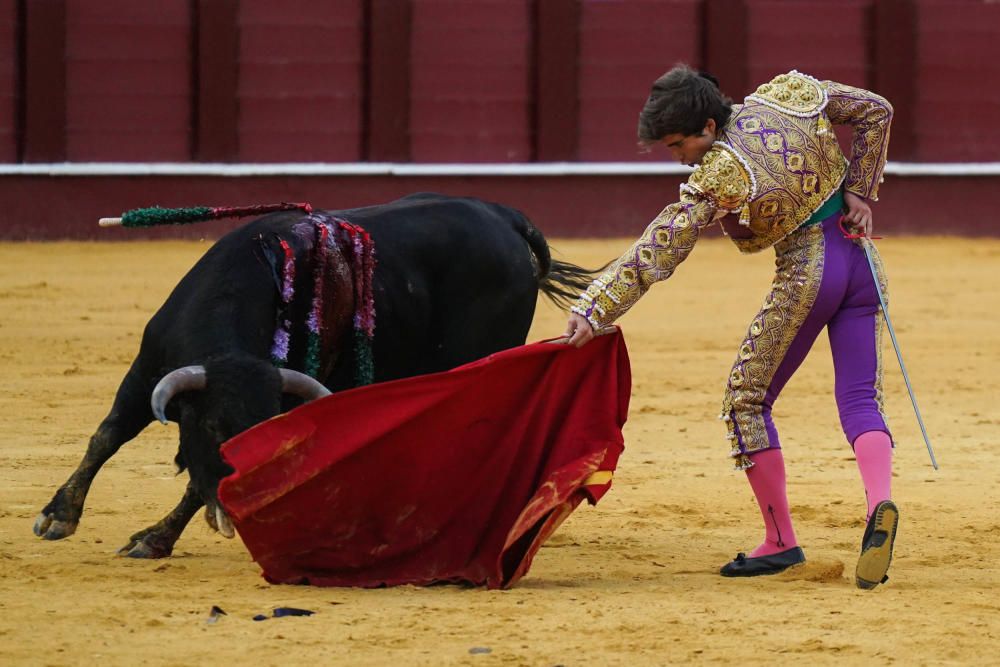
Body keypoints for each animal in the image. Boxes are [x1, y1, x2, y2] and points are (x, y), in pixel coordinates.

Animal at [31, 192, 596, 560]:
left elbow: (192, 480)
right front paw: (59, 515)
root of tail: (505, 216)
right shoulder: (147, 370)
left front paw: (154, 537)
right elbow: (108, 435)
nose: (234, 514)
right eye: (212, 427)